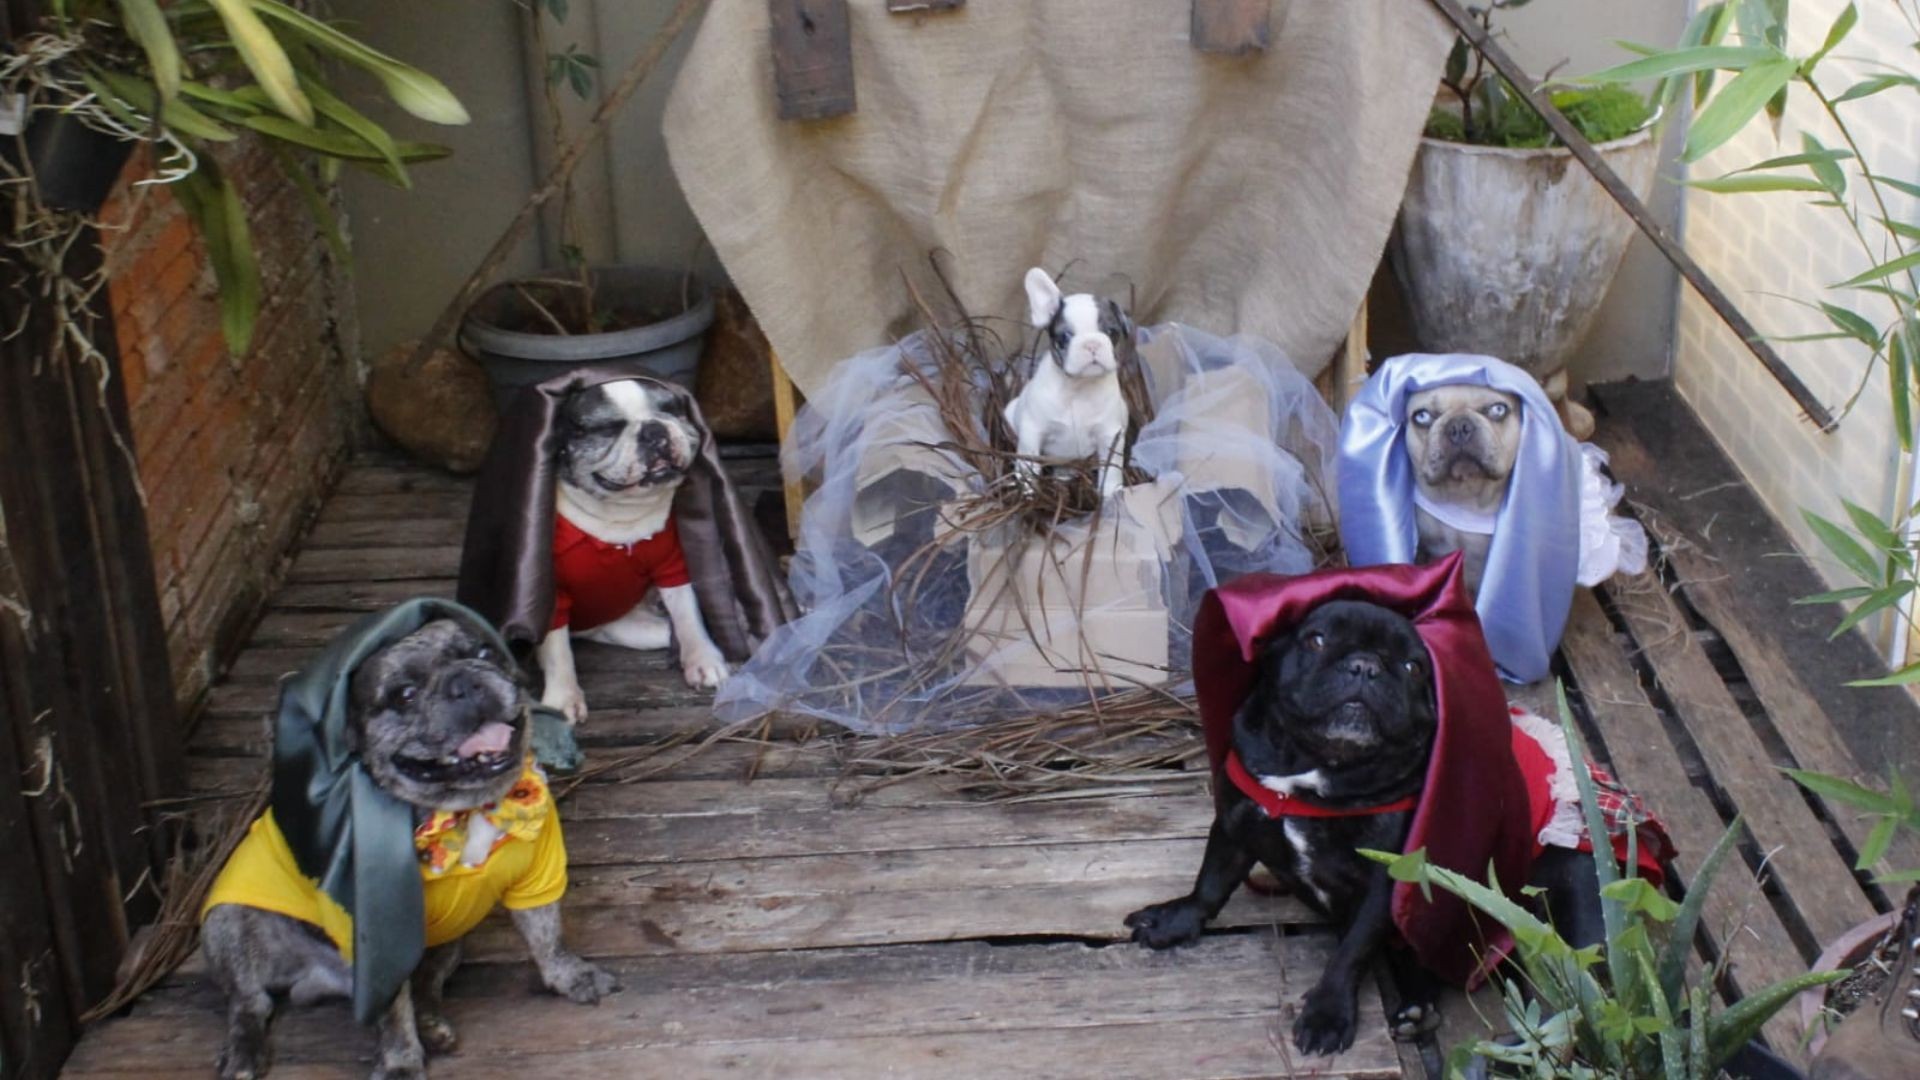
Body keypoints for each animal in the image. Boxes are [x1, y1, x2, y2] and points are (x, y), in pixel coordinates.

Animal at [537, 380, 729, 722]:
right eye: (608, 428)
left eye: (671, 409)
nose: (654, 428)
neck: (620, 516)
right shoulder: (552, 591)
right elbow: (558, 649)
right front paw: (563, 698)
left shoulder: (673, 567)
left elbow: (688, 613)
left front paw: (703, 658)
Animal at [998, 265, 1128, 495]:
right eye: (1065, 337)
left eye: (1112, 332)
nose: (1092, 343)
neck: (1078, 388)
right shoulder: (1032, 432)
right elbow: (1028, 465)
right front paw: (1028, 493)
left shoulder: (1110, 435)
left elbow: (1112, 469)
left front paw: (1112, 495)